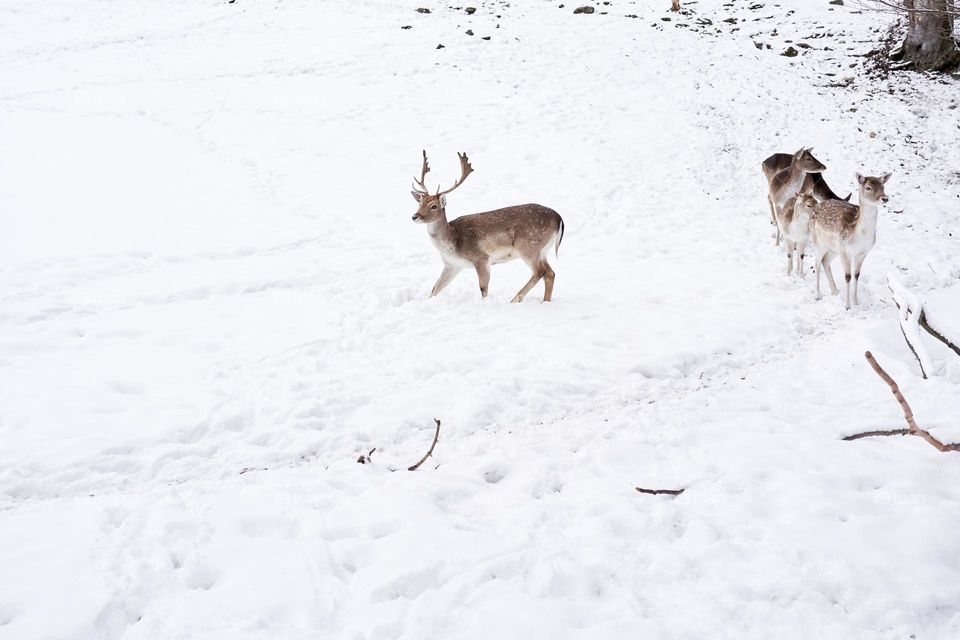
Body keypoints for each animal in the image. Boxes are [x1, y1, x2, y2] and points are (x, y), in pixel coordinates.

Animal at [410, 151, 565, 303]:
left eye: (433, 206)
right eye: (420, 203)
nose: (415, 216)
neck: (452, 243)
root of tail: (558, 218)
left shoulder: (482, 258)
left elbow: (483, 289)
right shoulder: (452, 264)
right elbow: (435, 288)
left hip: (529, 247)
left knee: (540, 272)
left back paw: (515, 299)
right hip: (542, 251)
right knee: (550, 273)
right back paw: (545, 301)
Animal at [809, 172, 891, 310]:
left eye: (883, 186)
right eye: (868, 188)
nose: (885, 198)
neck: (859, 236)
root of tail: (816, 206)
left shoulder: (862, 253)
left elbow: (856, 275)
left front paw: (856, 302)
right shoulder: (845, 251)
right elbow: (847, 276)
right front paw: (847, 306)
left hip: (833, 249)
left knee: (825, 261)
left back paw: (835, 291)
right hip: (817, 242)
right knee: (816, 263)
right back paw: (817, 294)